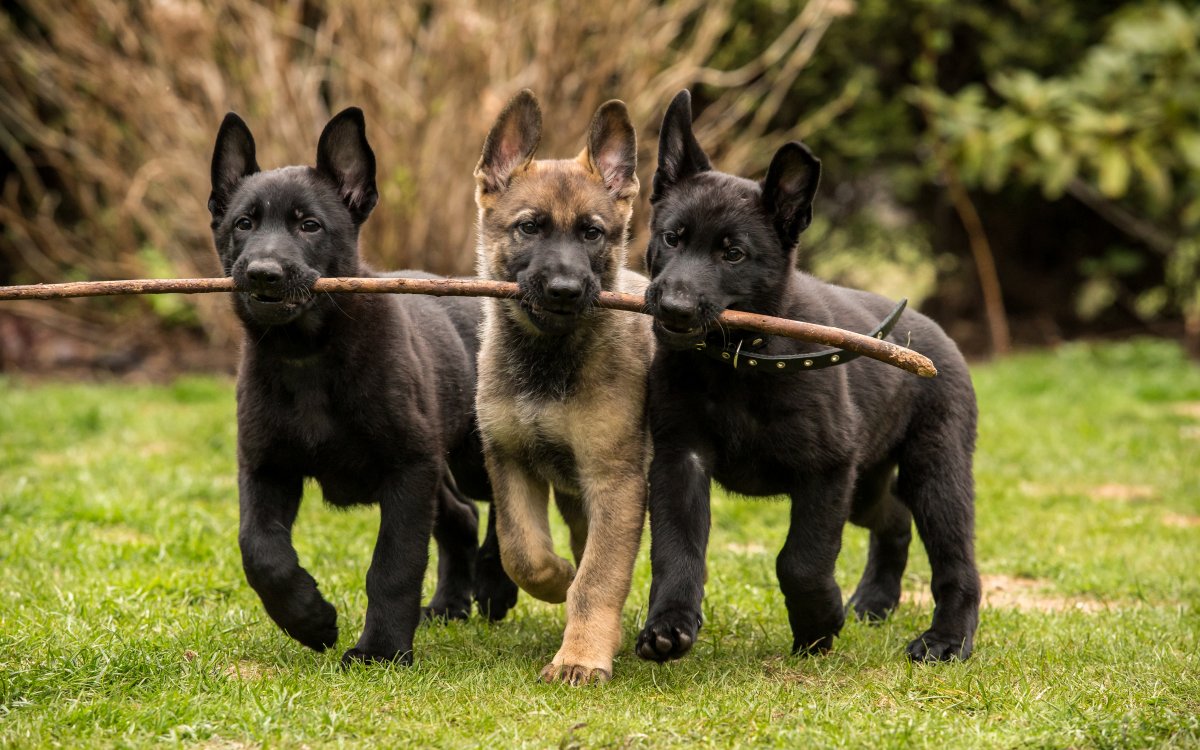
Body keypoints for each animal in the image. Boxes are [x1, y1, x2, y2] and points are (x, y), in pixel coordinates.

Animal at [207, 109, 516, 662]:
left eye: (309, 225)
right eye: (243, 223)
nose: (263, 274)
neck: (307, 356)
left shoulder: (408, 469)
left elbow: (393, 566)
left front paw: (381, 651)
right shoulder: (266, 467)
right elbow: (260, 551)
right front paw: (310, 619)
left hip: (471, 454)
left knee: (511, 503)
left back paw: (495, 585)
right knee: (462, 516)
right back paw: (448, 606)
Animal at [470, 89, 657, 686]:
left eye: (591, 233)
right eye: (529, 228)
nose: (565, 290)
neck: (547, 361)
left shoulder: (616, 481)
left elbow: (599, 577)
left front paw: (580, 657)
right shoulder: (509, 460)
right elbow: (521, 550)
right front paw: (556, 578)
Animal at [638, 92, 974, 662]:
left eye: (733, 254)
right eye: (672, 238)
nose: (675, 309)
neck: (739, 362)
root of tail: (932, 333)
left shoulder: (827, 471)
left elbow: (801, 559)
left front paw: (818, 623)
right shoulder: (679, 459)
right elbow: (677, 549)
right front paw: (669, 625)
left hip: (935, 472)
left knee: (957, 559)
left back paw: (947, 639)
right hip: (867, 486)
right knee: (894, 519)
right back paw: (875, 600)